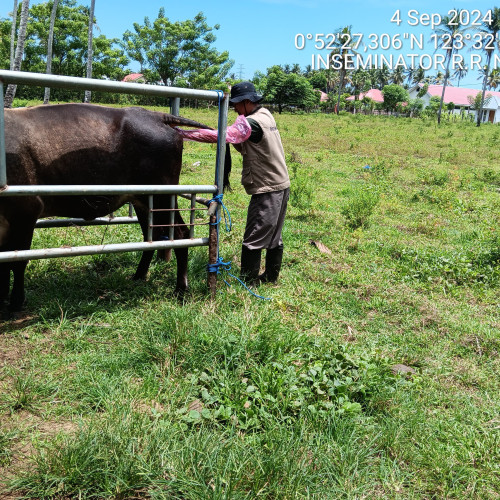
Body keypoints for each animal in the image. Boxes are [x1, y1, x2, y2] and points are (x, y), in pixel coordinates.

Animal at [0, 102, 227, 312]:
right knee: (151, 237)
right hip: (143, 201)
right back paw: (139, 275)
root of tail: (155, 116)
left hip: (163, 197)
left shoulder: (26, 213)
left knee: (181, 234)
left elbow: (17, 261)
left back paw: (180, 289)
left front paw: (15, 303)